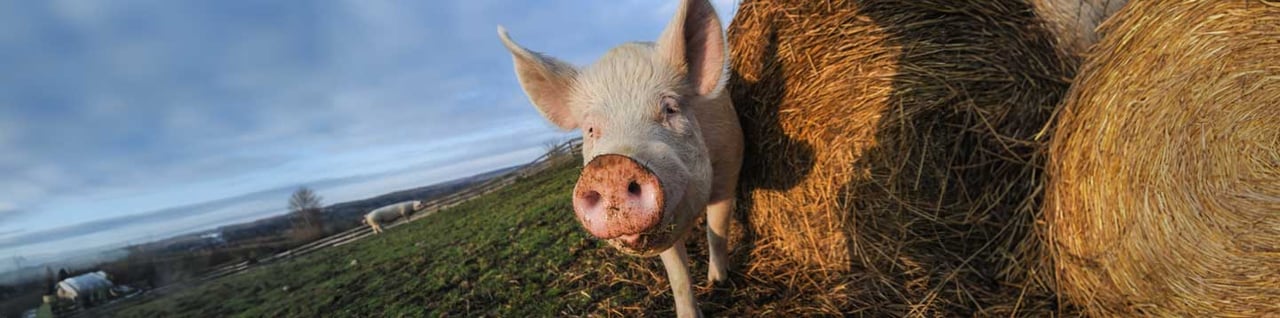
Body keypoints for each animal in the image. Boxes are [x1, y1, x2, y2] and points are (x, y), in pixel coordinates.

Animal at [496, 0, 747, 315]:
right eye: (591, 129)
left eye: (670, 109)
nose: (610, 167)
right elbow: (677, 272)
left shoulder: (730, 162)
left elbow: (718, 228)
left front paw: (718, 281)